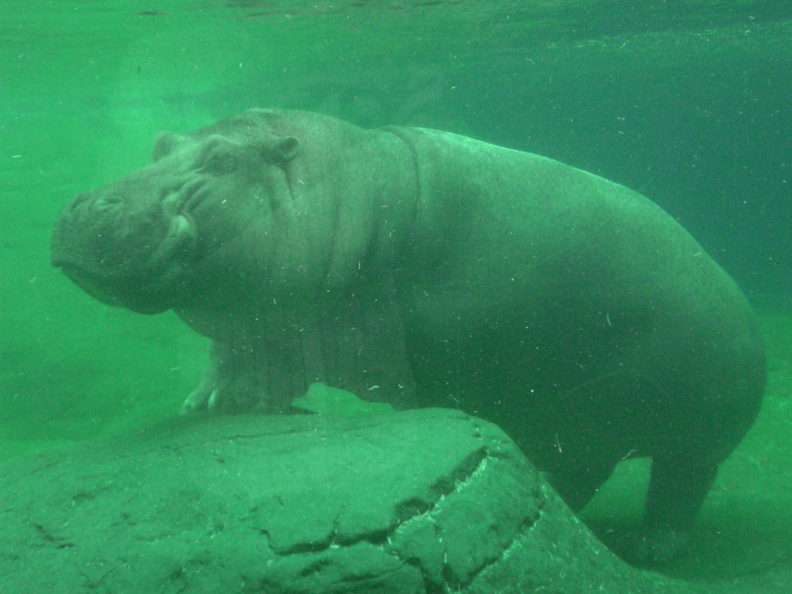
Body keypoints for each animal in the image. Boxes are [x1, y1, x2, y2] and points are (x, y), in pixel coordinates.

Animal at [48, 110, 760, 560]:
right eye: (160, 142)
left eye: (222, 158)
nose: (84, 206)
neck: (342, 191)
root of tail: (745, 309)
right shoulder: (264, 318)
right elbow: (233, 351)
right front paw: (208, 403)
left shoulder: (319, 327)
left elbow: (277, 362)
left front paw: (246, 402)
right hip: (595, 424)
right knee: (601, 472)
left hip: (677, 431)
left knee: (673, 486)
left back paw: (648, 547)